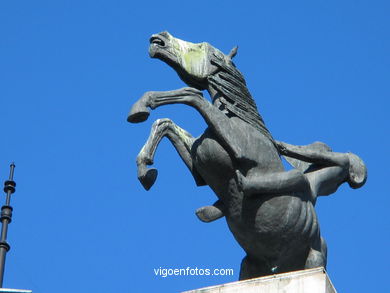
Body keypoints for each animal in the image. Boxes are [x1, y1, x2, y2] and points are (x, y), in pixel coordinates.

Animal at [128, 32, 366, 278]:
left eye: (199, 47)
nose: (157, 39)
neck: (239, 120)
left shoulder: (239, 146)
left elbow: (191, 95)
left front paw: (142, 108)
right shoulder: (198, 167)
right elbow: (165, 123)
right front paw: (146, 169)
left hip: (314, 259)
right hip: (251, 265)